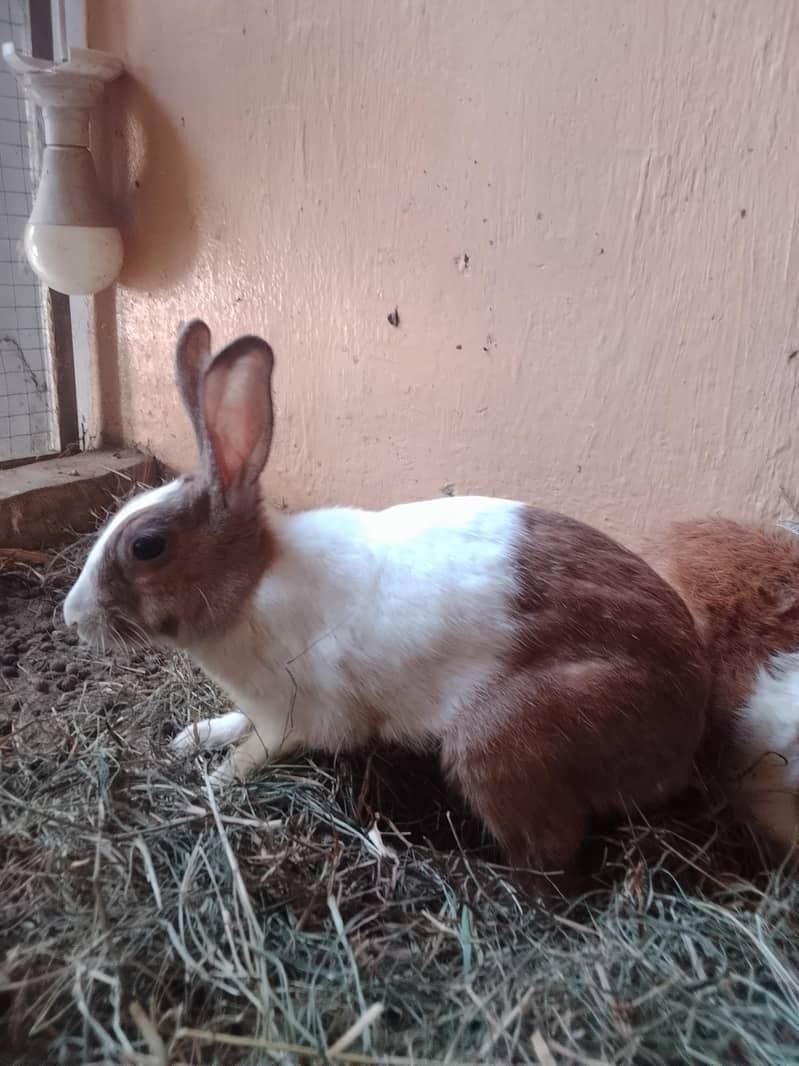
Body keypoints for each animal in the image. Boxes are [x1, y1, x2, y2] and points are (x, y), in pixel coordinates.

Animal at [62, 320, 710, 878]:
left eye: (147, 546)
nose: (71, 616)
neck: (250, 584)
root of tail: (689, 722)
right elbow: (234, 723)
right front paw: (191, 738)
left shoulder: (290, 717)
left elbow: (255, 752)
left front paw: (214, 783)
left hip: (499, 742)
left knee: (549, 857)